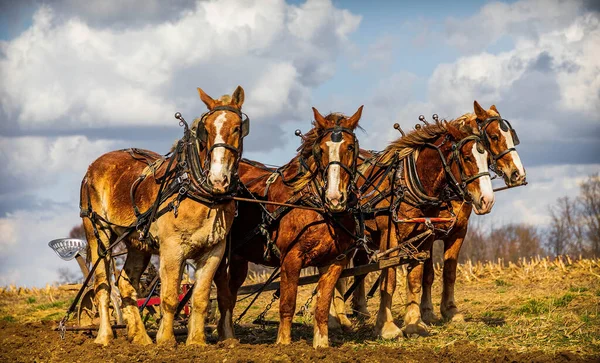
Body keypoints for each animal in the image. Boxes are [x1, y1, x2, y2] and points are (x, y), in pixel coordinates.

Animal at [79, 85, 248, 346]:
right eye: (207, 130)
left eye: (237, 127)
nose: (219, 179)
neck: (196, 187)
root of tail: (91, 169)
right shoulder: (172, 248)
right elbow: (169, 296)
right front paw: (166, 340)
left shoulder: (214, 250)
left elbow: (200, 297)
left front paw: (196, 341)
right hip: (98, 234)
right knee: (103, 286)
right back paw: (105, 336)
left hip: (137, 242)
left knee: (126, 283)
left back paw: (141, 338)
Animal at [216, 106, 366, 350]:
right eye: (321, 150)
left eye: (351, 147)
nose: (335, 197)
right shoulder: (291, 259)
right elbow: (287, 303)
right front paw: (284, 343)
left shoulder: (334, 262)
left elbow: (322, 305)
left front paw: (322, 344)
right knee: (220, 291)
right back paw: (226, 336)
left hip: (239, 257)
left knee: (231, 292)